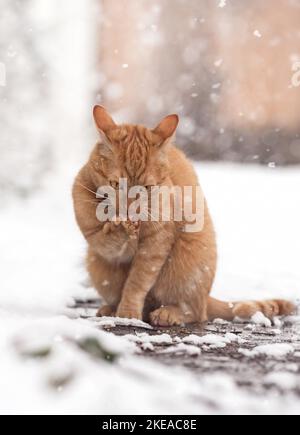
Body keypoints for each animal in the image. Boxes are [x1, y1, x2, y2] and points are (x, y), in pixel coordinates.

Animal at [72, 106, 296, 328]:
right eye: (116, 184)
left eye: (147, 188)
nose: (129, 210)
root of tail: (207, 298)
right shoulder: (97, 242)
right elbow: (109, 243)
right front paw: (119, 228)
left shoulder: (156, 245)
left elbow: (137, 282)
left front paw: (127, 312)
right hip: (96, 264)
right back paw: (111, 308)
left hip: (188, 263)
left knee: (195, 312)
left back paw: (168, 313)